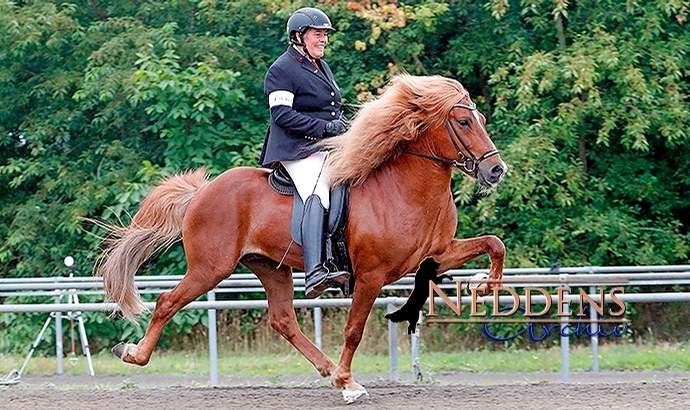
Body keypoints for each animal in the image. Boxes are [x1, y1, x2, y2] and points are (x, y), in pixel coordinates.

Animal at [94, 73, 506, 400]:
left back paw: (328, 371)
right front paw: (348, 381)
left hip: (270, 266)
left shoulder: (436, 253)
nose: (496, 170)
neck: (407, 189)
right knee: (167, 302)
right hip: (210, 268)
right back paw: (133, 354)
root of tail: (201, 192)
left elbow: (494, 244)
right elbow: (354, 330)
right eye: (464, 121)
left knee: (283, 320)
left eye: (481, 119)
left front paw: (485, 286)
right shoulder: (370, 275)